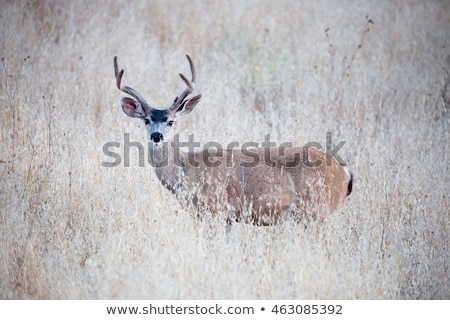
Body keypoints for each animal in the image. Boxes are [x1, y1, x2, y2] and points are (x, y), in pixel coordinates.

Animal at [112, 54, 352, 225]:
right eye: (146, 120)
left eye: (171, 121)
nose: (157, 135)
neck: (186, 170)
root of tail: (344, 171)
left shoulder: (216, 209)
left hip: (318, 210)